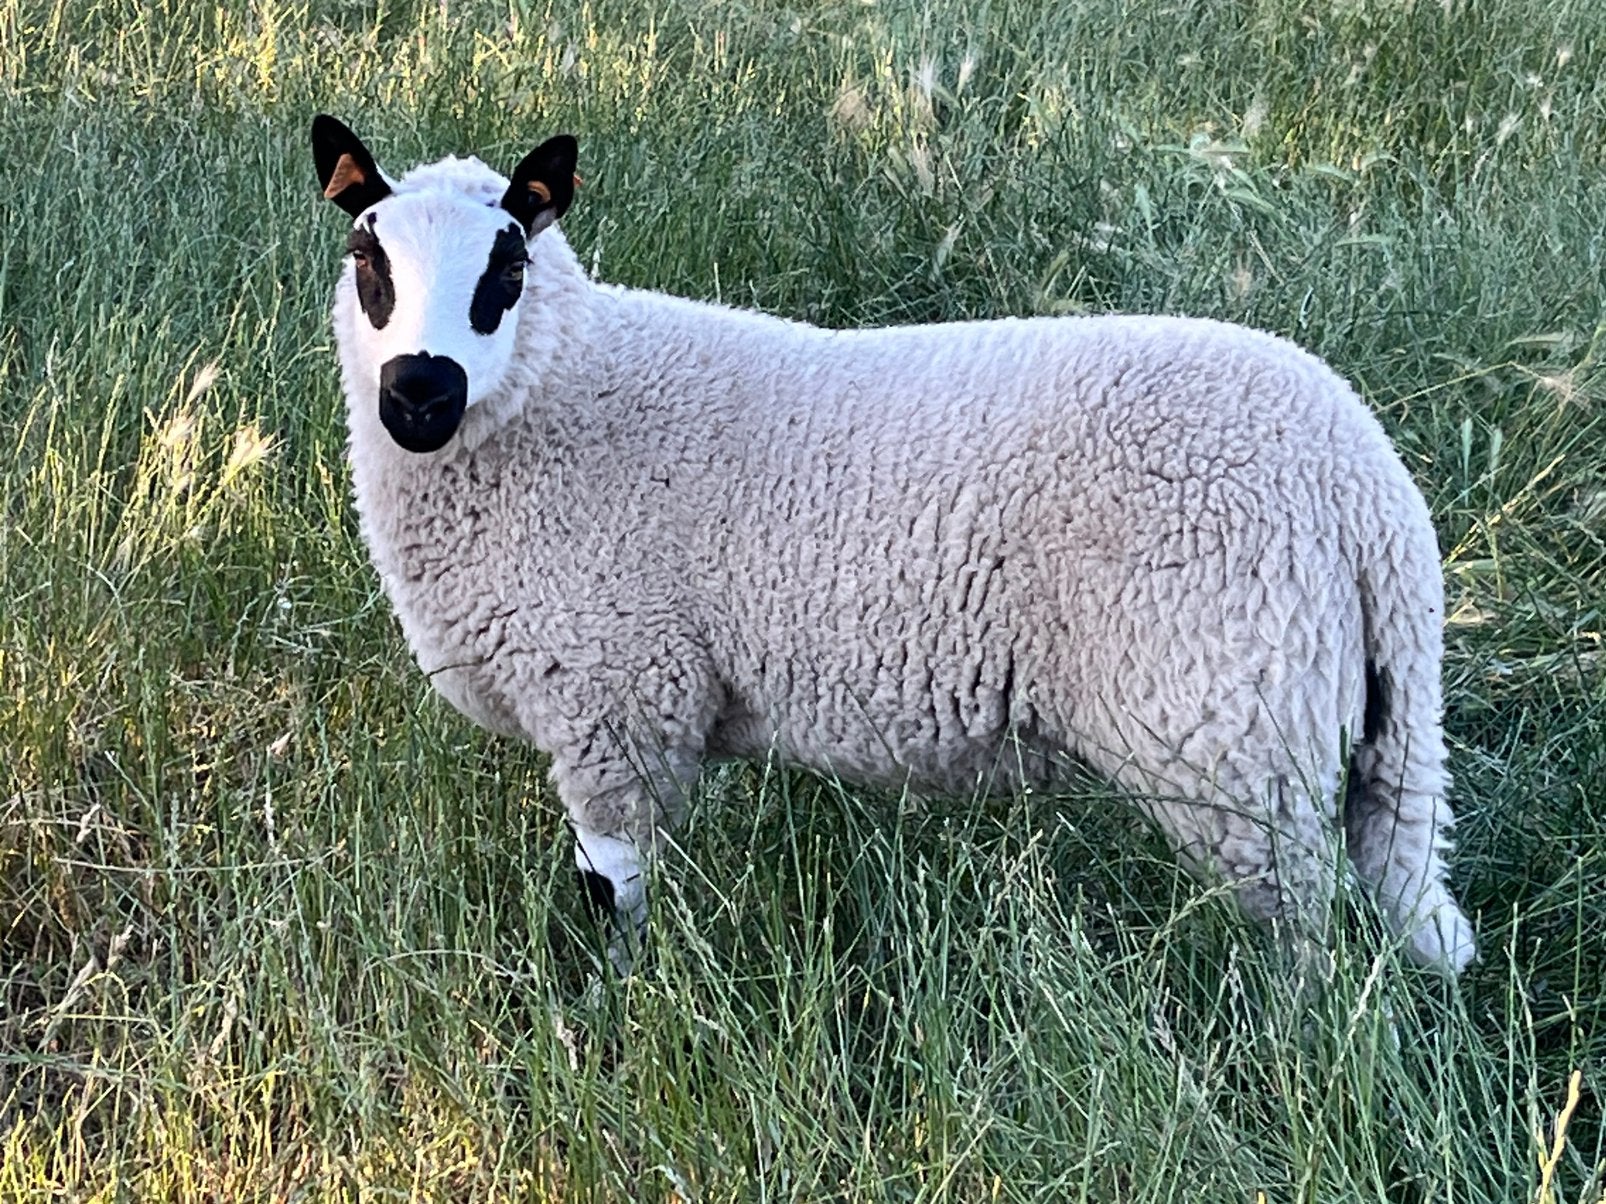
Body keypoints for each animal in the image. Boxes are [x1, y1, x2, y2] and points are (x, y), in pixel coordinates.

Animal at [310, 114, 1477, 978]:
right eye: (367, 258)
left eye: (504, 271)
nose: (419, 393)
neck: (565, 392)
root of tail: (1366, 487)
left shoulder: (616, 703)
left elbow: (615, 889)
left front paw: (613, 1008)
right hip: (1348, 736)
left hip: (1240, 736)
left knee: (1318, 953)